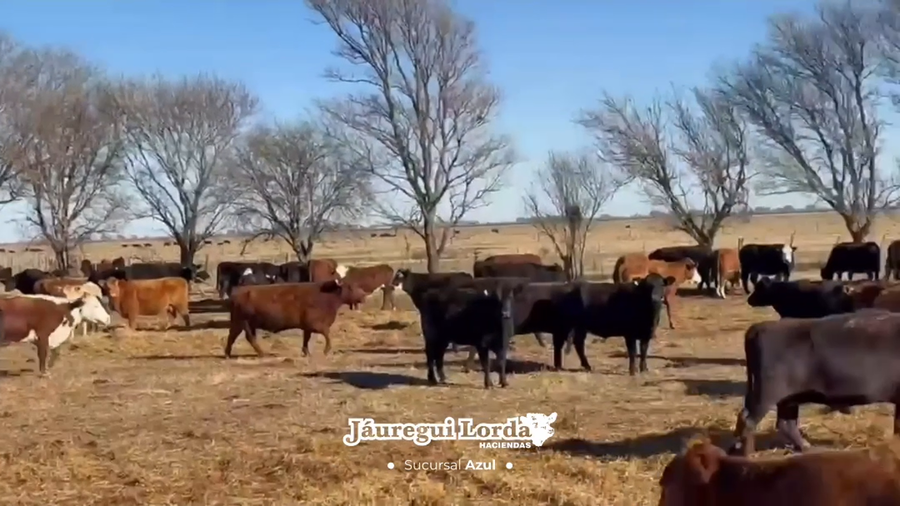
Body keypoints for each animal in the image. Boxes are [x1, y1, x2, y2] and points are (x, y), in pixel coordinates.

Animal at [224, 280, 367, 358]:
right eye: (350, 287)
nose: (364, 295)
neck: (326, 295)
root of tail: (238, 293)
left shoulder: (307, 327)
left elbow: (306, 339)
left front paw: (306, 352)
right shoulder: (316, 324)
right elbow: (327, 334)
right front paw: (326, 350)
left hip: (241, 323)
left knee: (232, 336)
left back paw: (227, 354)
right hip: (245, 323)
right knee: (249, 338)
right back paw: (261, 353)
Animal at [729, 310, 900, 456]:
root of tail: (759, 327)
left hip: (787, 399)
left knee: (782, 423)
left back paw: (804, 446)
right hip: (767, 394)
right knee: (749, 421)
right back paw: (749, 454)